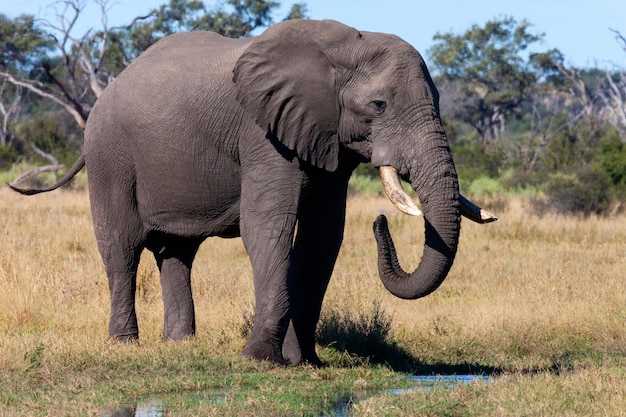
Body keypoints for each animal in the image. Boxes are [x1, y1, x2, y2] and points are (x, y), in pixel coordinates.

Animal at [11, 19, 492, 364]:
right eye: (379, 105)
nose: (381, 220)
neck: (343, 47)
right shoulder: (262, 134)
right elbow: (267, 227)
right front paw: (261, 360)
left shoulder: (326, 140)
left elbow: (322, 237)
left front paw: (306, 362)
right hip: (110, 156)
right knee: (121, 248)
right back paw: (125, 345)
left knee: (177, 253)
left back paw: (181, 345)